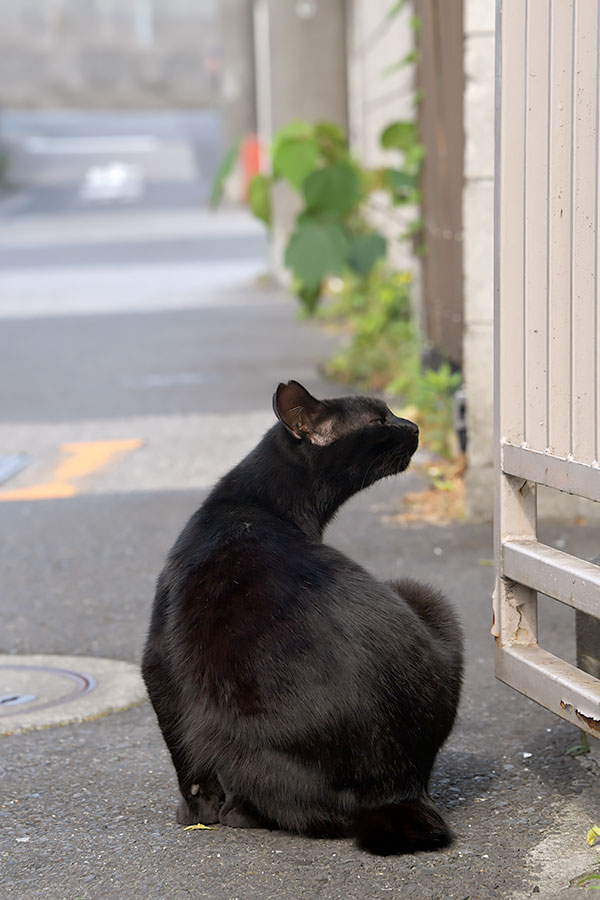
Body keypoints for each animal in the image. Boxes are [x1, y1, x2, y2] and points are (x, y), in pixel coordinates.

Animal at [142, 380, 464, 856]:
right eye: (379, 420)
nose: (414, 425)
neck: (256, 503)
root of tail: (396, 791)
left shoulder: (158, 658)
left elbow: (184, 756)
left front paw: (196, 812)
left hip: (415, 592)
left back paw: (241, 813)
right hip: (430, 603)